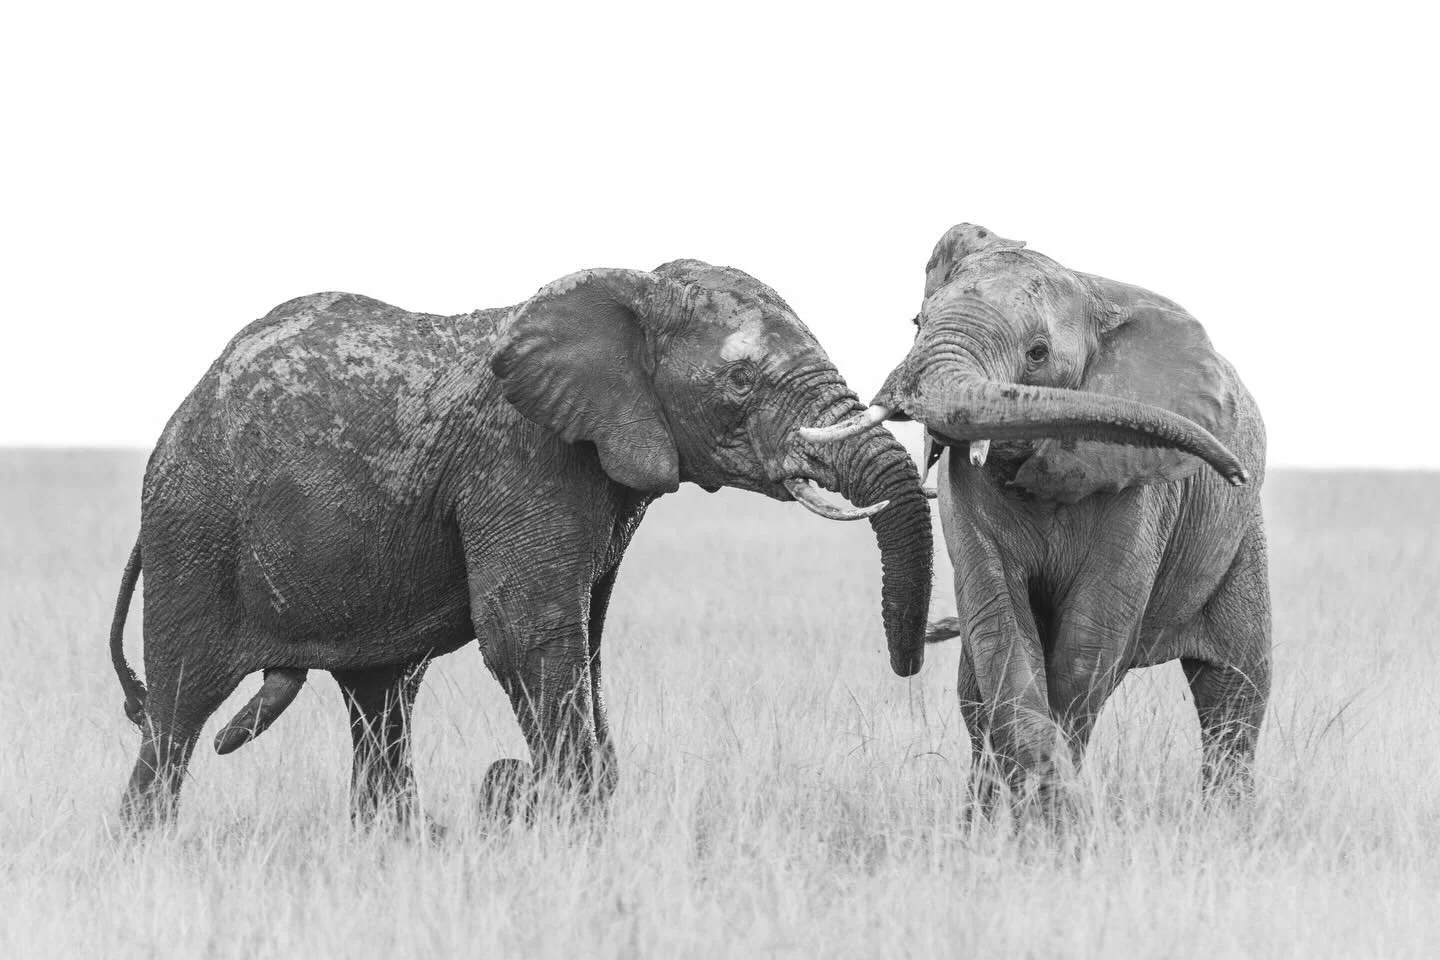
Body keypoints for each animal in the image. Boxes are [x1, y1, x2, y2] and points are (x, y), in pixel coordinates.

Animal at [109, 260, 934, 829]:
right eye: (739, 381)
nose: (909, 662)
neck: (629, 290)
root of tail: (183, 411)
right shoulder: (523, 459)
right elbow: (527, 635)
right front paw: (560, 815)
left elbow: (585, 642)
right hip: (192, 529)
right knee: (179, 705)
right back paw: (145, 849)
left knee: (380, 702)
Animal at [802, 224, 1268, 810]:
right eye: (917, 324)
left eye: (1038, 353)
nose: (1233, 473)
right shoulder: (965, 493)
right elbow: (1001, 632)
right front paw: (1041, 817)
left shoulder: (1139, 490)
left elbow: (1087, 645)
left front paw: (1055, 818)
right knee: (974, 700)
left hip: (1241, 536)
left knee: (1235, 692)